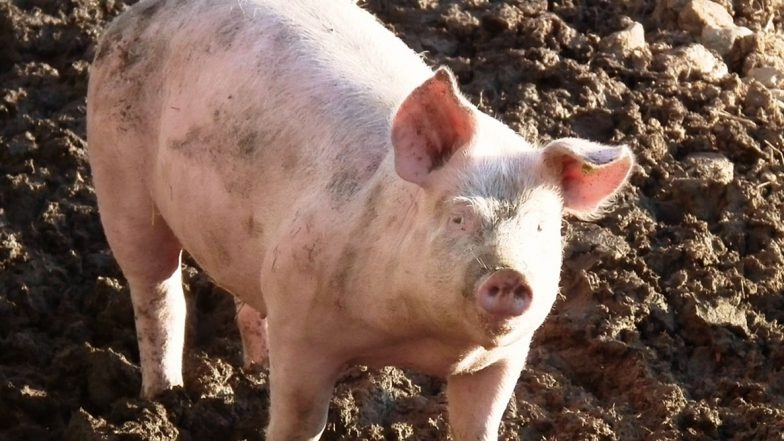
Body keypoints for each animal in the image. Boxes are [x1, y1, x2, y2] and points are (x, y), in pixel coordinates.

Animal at [86, 0, 634, 439]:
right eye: (459, 217)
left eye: (541, 228)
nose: (510, 275)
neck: (421, 340)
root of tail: (133, 15)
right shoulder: (301, 317)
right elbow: (299, 420)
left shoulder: (504, 357)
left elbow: (480, 424)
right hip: (118, 177)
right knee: (157, 292)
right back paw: (164, 396)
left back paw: (252, 371)